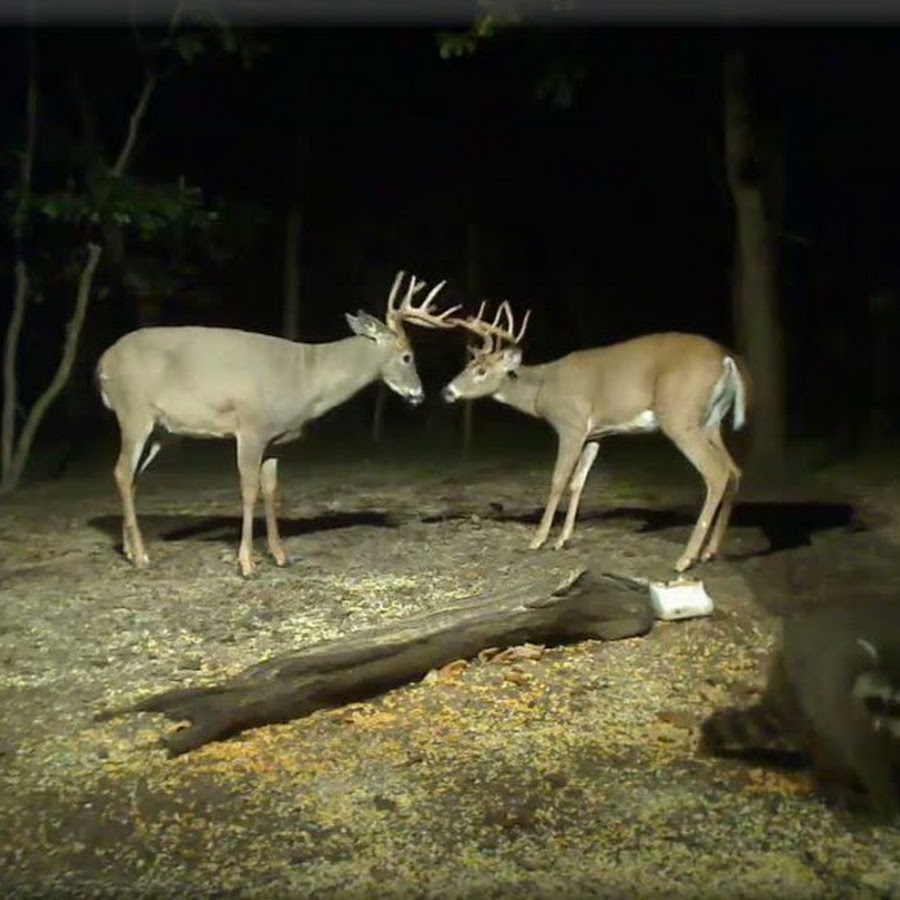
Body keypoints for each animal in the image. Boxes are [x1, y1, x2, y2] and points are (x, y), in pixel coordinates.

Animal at [96, 270, 459, 577]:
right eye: (407, 356)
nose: (419, 394)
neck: (307, 378)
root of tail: (101, 364)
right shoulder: (250, 428)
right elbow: (248, 490)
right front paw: (246, 563)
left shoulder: (275, 441)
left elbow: (270, 491)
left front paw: (280, 555)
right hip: (134, 412)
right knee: (121, 471)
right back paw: (141, 557)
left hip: (161, 432)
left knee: (132, 478)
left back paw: (130, 550)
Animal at [441, 301, 750, 573]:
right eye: (468, 366)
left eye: (480, 370)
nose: (447, 391)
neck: (541, 389)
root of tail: (727, 359)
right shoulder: (595, 434)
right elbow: (578, 482)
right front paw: (563, 539)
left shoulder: (571, 424)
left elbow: (558, 480)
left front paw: (539, 539)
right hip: (711, 421)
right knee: (735, 470)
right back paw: (710, 551)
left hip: (679, 416)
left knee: (716, 472)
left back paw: (686, 558)